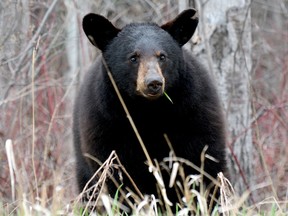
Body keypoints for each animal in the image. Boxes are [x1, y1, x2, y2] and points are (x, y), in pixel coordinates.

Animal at [73, 8, 226, 211]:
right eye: (133, 57)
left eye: (162, 56)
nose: (153, 83)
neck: (149, 113)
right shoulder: (107, 128)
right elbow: (116, 181)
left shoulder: (194, 117)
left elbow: (203, 170)